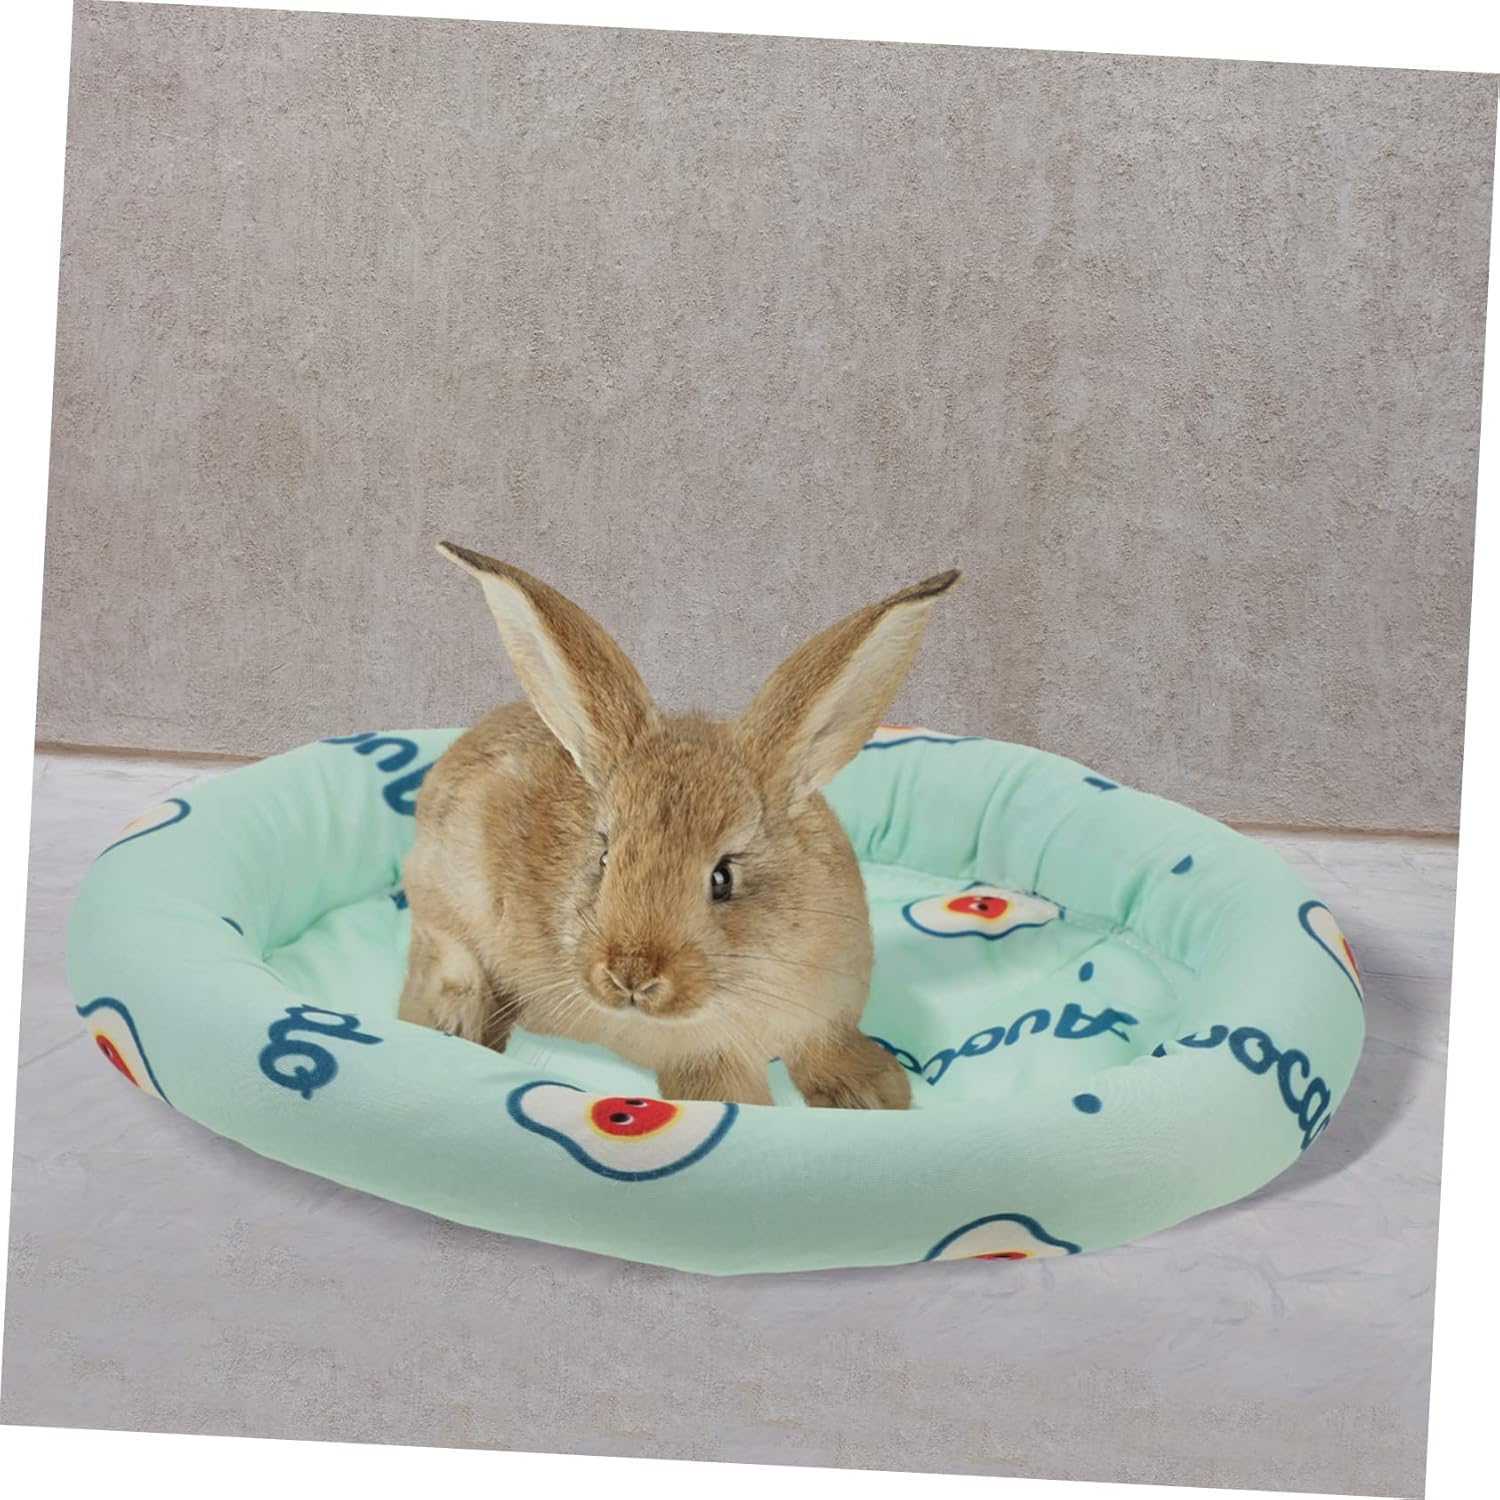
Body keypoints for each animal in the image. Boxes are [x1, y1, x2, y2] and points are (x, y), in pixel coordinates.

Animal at [397, 541, 961, 1108]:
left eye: (723, 877)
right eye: (605, 857)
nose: (630, 976)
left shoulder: (825, 1021)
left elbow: (831, 1054)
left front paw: (878, 1095)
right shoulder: (706, 1057)